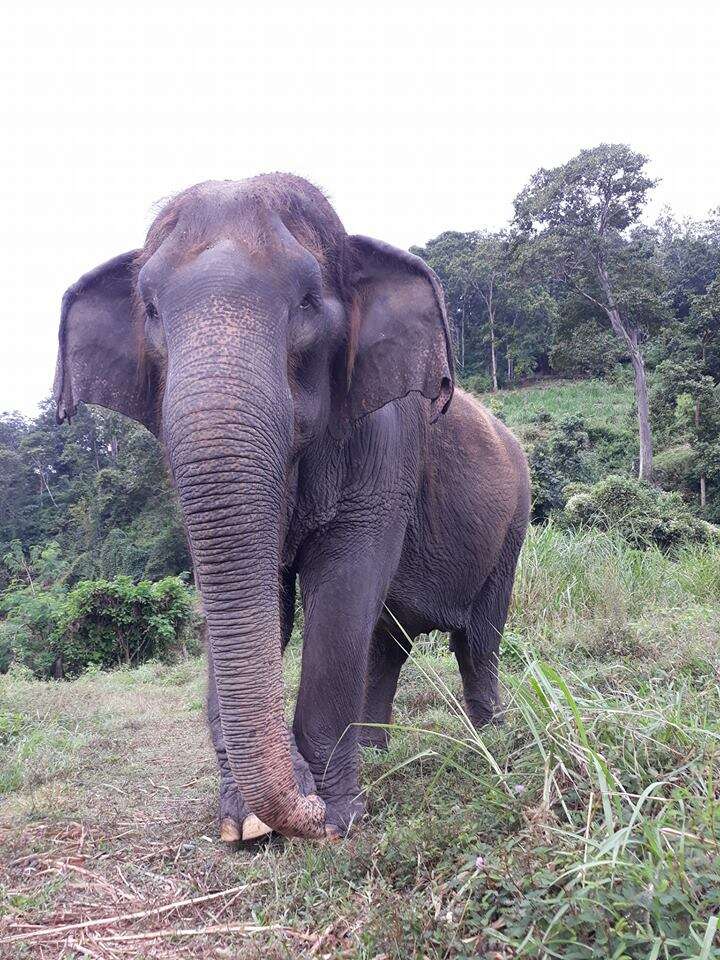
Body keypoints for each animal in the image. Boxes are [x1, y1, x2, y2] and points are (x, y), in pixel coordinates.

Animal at [53, 172, 532, 840]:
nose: (298, 802)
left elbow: (344, 585)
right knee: (390, 639)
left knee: (479, 636)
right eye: (148, 309)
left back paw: (492, 737)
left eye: (307, 300)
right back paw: (380, 752)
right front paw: (246, 827)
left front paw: (333, 821)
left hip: (514, 523)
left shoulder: (385, 445)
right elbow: (261, 594)